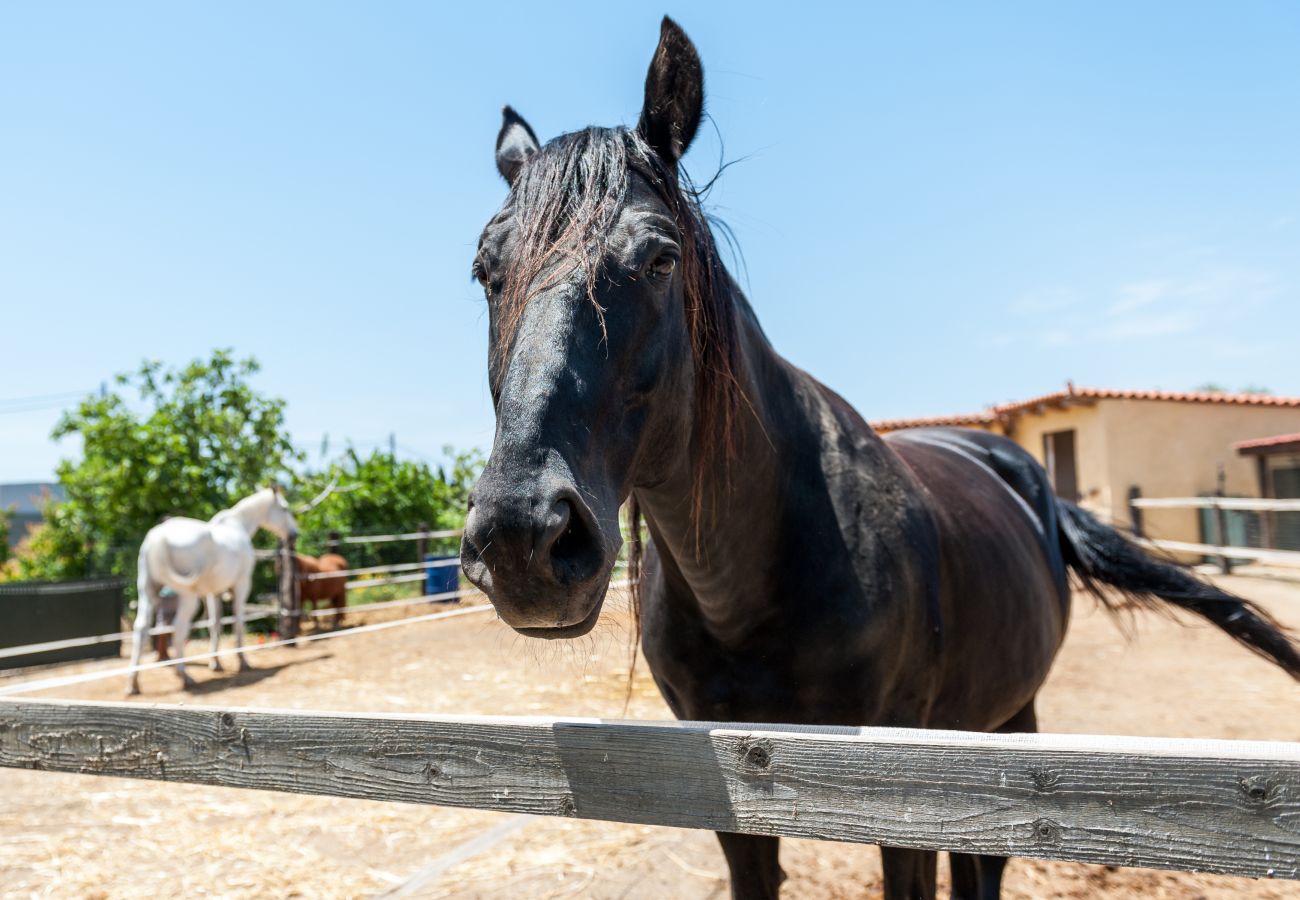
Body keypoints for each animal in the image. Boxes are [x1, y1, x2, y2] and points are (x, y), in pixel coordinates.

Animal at [128, 486, 297, 697]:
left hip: (147, 590)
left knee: (141, 628)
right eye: (284, 508)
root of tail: (159, 538)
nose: (294, 534)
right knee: (178, 628)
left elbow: (214, 624)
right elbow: (237, 622)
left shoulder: (213, 592)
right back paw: (185, 676)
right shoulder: (241, 585)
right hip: (187, 596)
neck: (238, 525)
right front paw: (242, 661)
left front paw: (216, 663)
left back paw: (134, 683)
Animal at [460, 15, 1300, 900]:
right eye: (485, 271)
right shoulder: (729, 800)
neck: (754, 583)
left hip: (1008, 721)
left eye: (659, 258)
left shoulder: (898, 797)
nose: (522, 535)